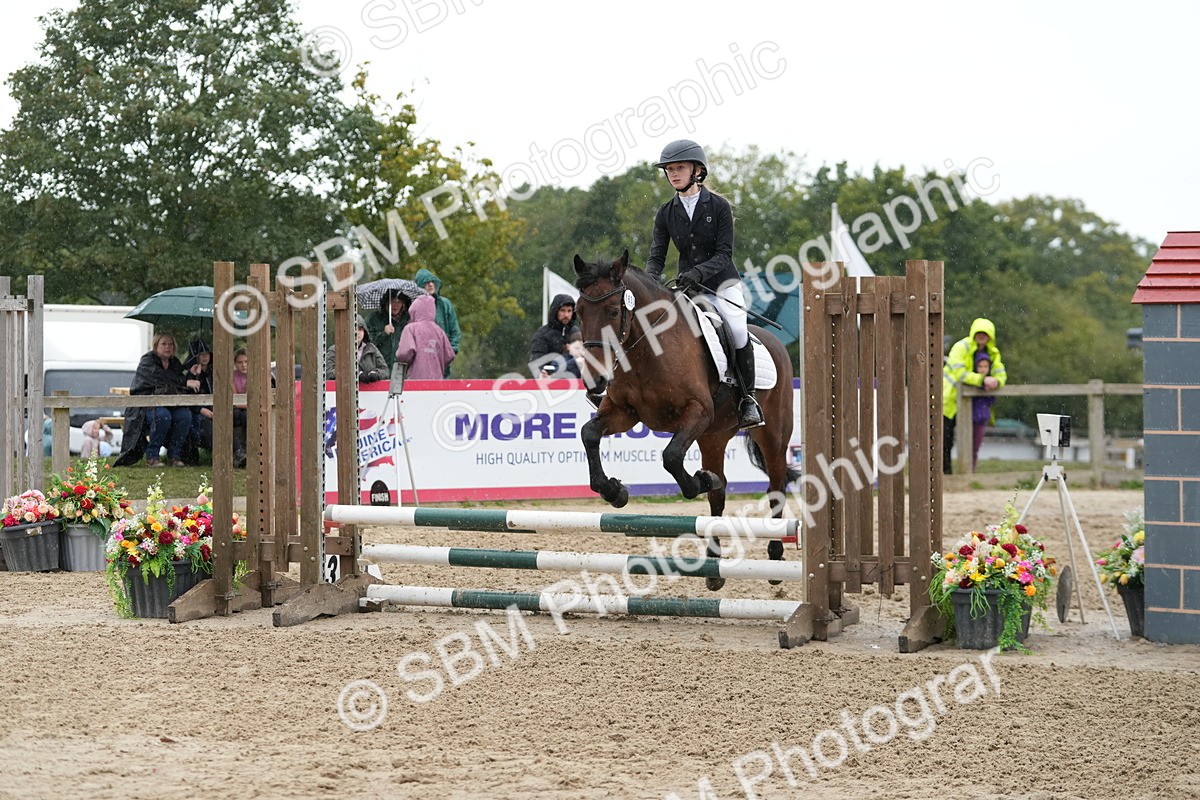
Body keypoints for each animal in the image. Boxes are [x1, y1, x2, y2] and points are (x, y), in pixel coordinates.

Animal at [572, 250, 800, 590]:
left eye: (613, 311)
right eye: (579, 312)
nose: (595, 380)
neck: (648, 348)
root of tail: (775, 343)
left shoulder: (698, 412)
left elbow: (671, 456)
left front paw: (697, 481)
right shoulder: (623, 413)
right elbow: (589, 433)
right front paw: (614, 491)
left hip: (772, 434)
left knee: (776, 485)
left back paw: (773, 556)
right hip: (713, 436)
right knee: (721, 492)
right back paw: (713, 567)